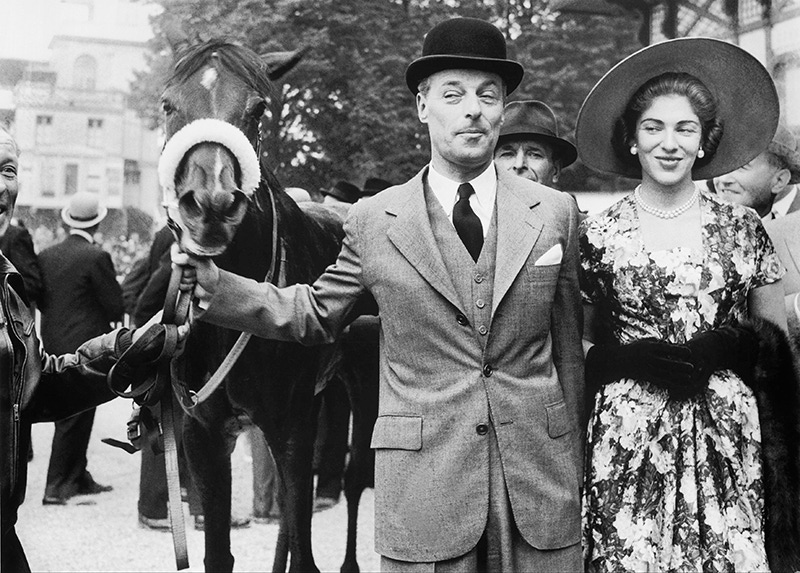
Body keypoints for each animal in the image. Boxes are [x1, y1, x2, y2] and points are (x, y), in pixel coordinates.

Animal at [161, 38, 380, 568]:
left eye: (258, 109)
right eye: (168, 104)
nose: (210, 204)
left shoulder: (293, 427)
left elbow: (304, 549)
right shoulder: (202, 432)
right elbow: (220, 553)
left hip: (365, 383)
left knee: (356, 478)